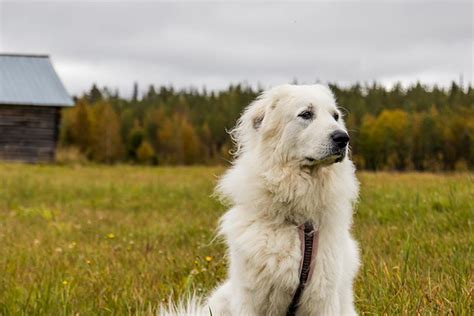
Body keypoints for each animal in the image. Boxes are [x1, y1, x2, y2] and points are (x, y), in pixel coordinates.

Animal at [163, 84, 360, 316]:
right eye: (306, 114)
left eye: (335, 116)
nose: (343, 138)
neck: (296, 221)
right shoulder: (250, 296)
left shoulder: (323, 297)